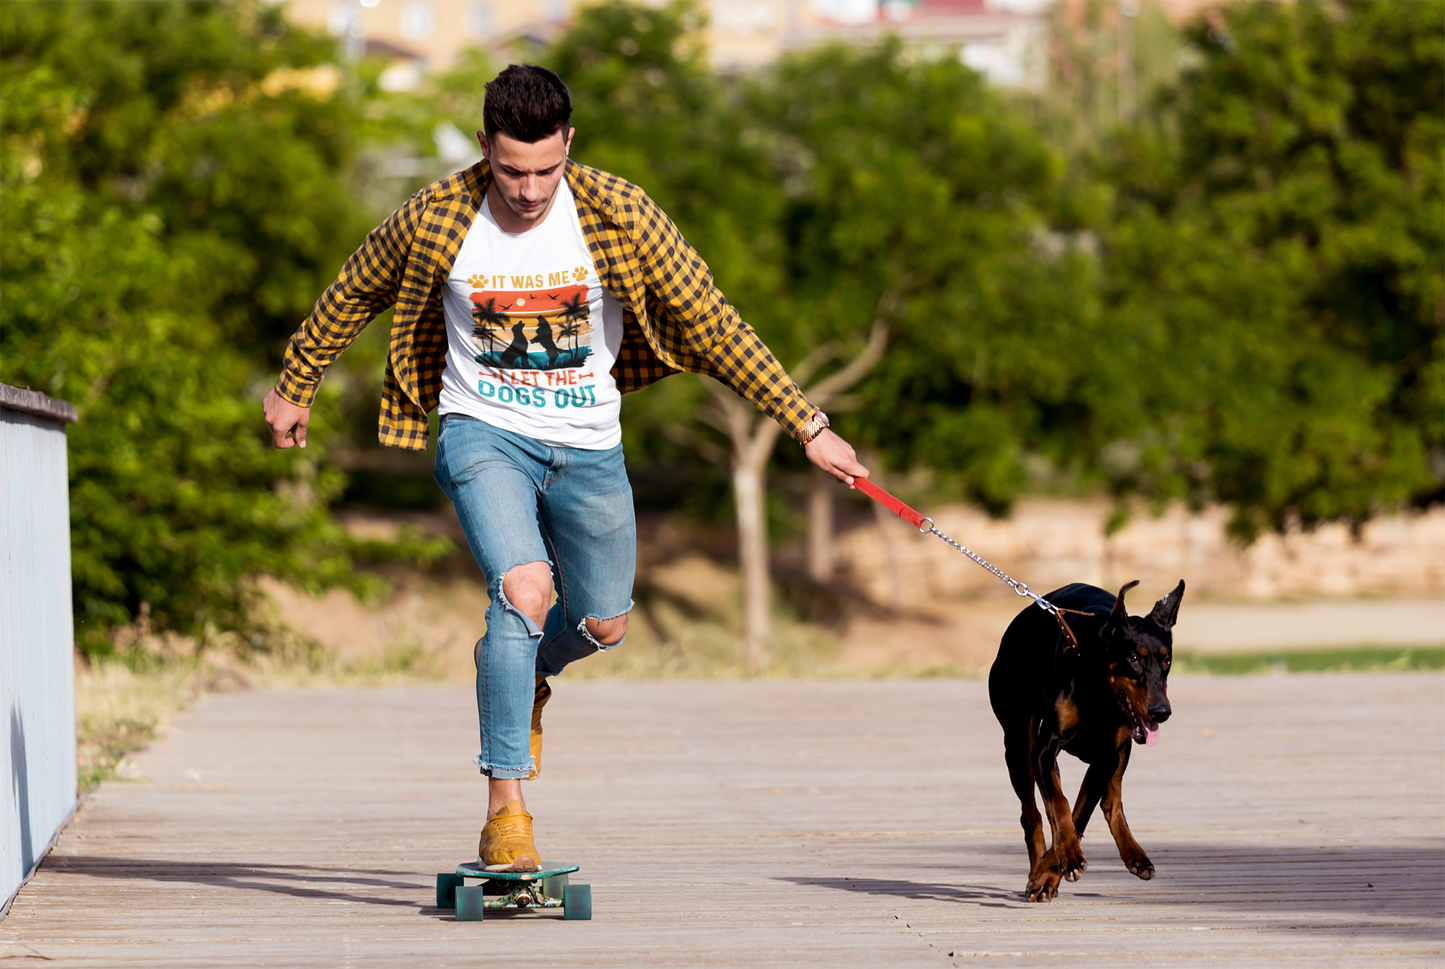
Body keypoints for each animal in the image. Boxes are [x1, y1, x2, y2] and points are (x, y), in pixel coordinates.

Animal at [994, 577, 1184, 901]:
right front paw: (1058, 864)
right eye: (1133, 657)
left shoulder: (1107, 756)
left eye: (1166, 660)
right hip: (1018, 745)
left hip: (1125, 747)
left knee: (1111, 802)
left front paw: (1052, 869)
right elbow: (1059, 804)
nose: (1162, 712)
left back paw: (1135, 856)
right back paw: (1036, 869)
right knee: (1031, 813)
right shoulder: (1045, 751)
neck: (1098, 685)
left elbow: (1080, 812)